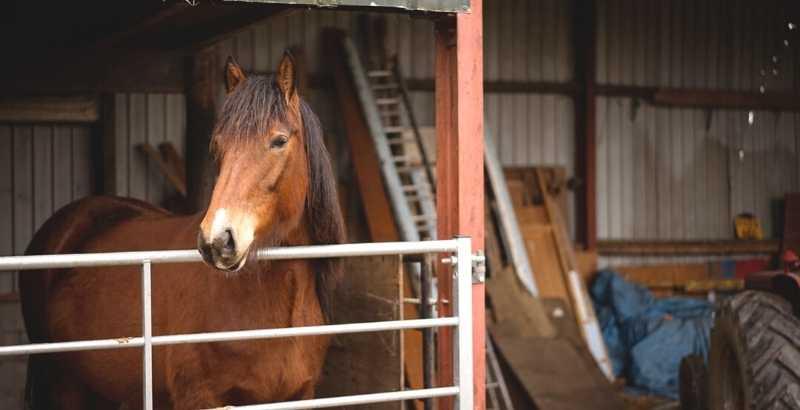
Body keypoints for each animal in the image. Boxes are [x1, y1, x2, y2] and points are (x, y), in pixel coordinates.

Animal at [19, 51, 345, 409]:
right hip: (66, 388)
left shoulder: (301, 394)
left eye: (279, 141)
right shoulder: (200, 398)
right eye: (217, 145)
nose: (217, 240)